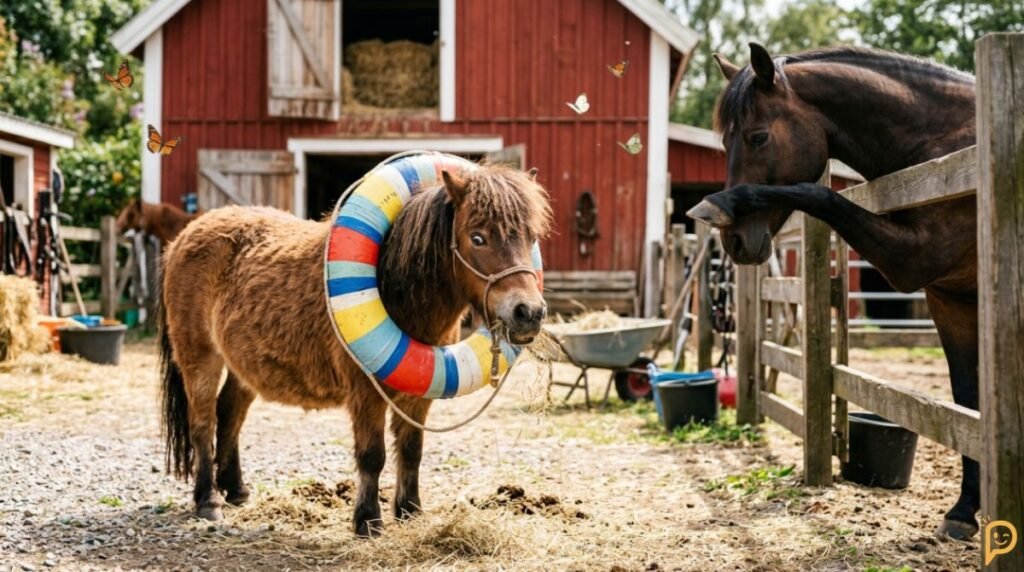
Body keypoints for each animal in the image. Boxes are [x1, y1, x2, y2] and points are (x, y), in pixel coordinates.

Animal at [158, 162, 551, 536]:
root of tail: (184, 236)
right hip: (200, 357)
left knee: (230, 413)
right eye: (478, 237)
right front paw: (367, 520)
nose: (528, 312)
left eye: (531, 236)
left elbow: (411, 450)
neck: (394, 285)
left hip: (244, 366)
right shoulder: (365, 392)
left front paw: (410, 511)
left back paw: (236, 490)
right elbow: (372, 455)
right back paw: (208, 501)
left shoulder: (423, 390)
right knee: (203, 422)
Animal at [687, 44, 981, 539]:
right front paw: (964, 512)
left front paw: (719, 203)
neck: (950, 148)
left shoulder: (915, 259)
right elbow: (968, 404)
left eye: (758, 138)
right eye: (725, 143)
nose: (736, 244)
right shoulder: (949, 299)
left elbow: (817, 193)